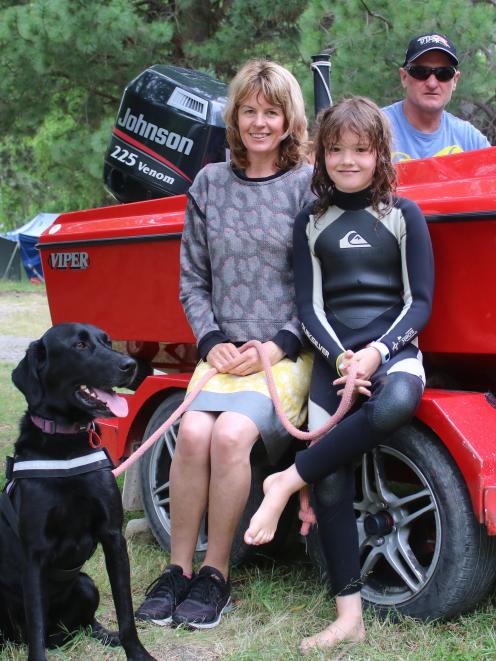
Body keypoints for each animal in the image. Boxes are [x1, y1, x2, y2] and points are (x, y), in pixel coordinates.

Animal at [0, 322, 155, 656]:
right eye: (80, 346)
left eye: (107, 341)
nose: (131, 366)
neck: (66, 444)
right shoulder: (34, 554)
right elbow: (36, 628)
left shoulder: (113, 537)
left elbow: (126, 612)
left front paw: (137, 653)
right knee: (36, 635)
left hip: (86, 585)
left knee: (84, 625)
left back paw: (105, 635)